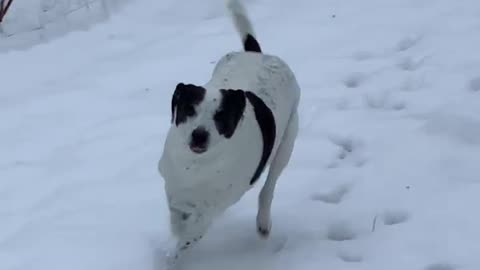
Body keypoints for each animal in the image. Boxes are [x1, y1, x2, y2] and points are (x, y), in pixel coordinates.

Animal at [159, 0, 298, 264]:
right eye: (189, 109)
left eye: (221, 116)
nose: (199, 135)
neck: (198, 165)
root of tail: (258, 54)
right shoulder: (174, 190)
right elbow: (176, 219)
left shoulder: (210, 208)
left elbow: (190, 234)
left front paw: (172, 256)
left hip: (287, 143)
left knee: (268, 188)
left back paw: (263, 222)